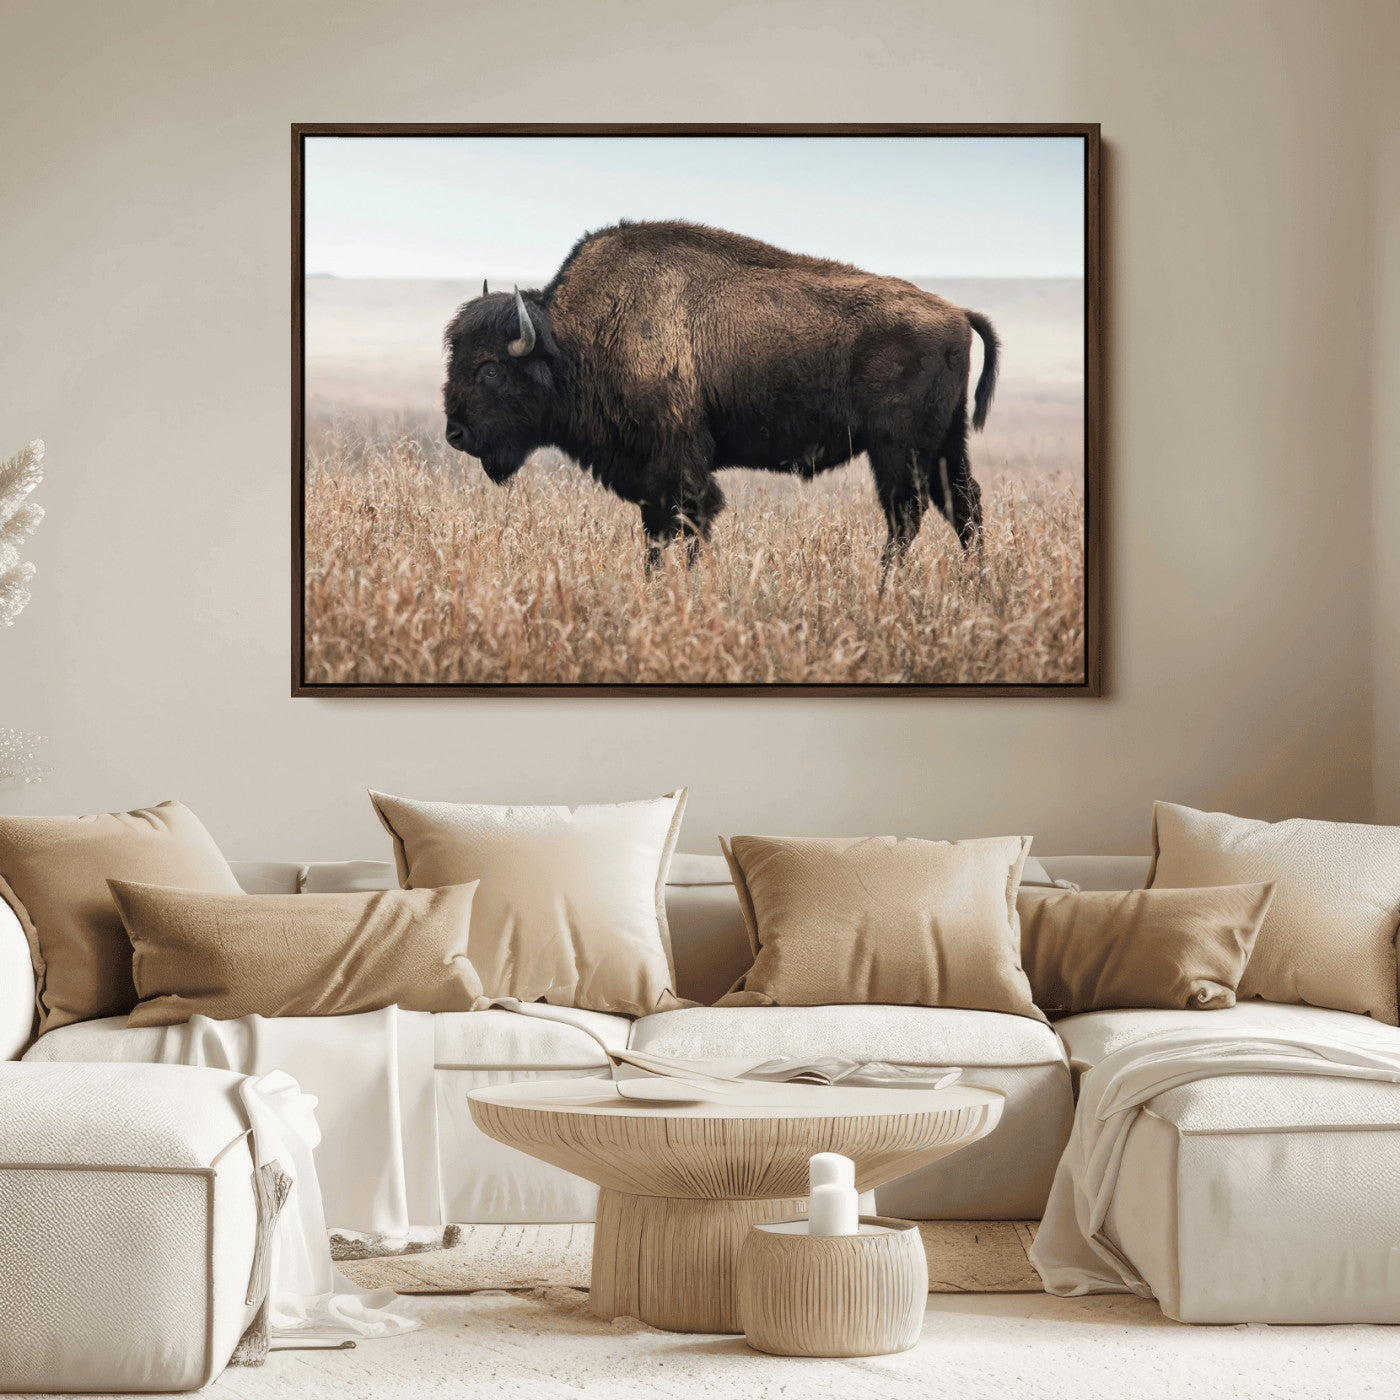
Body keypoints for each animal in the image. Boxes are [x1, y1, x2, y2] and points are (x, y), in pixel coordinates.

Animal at [443, 220, 998, 576]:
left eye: (491, 369)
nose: (455, 433)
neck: (577, 339)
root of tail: (956, 312)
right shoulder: (651, 478)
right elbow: (657, 533)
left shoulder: (679, 465)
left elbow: (690, 522)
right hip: (945, 444)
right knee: (962, 505)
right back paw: (975, 582)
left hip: (898, 449)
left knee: (908, 513)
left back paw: (886, 585)